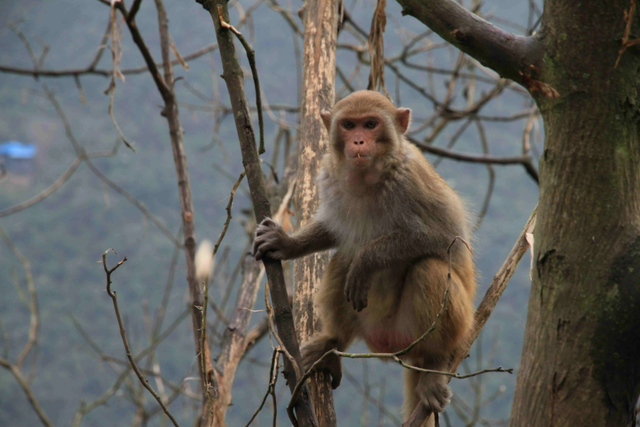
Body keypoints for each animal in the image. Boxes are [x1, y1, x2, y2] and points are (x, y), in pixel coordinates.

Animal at [254, 90, 476, 424]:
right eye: (349, 125)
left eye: (371, 124)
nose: (358, 141)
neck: (369, 178)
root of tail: (394, 348)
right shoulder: (330, 176)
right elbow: (334, 231)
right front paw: (287, 243)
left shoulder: (412, 181)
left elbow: (443, 237)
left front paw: (368, 260)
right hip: (372, 326)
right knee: (343, 257)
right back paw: (333, 344)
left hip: (437, 329)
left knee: (429, 267)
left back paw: (435, 364)